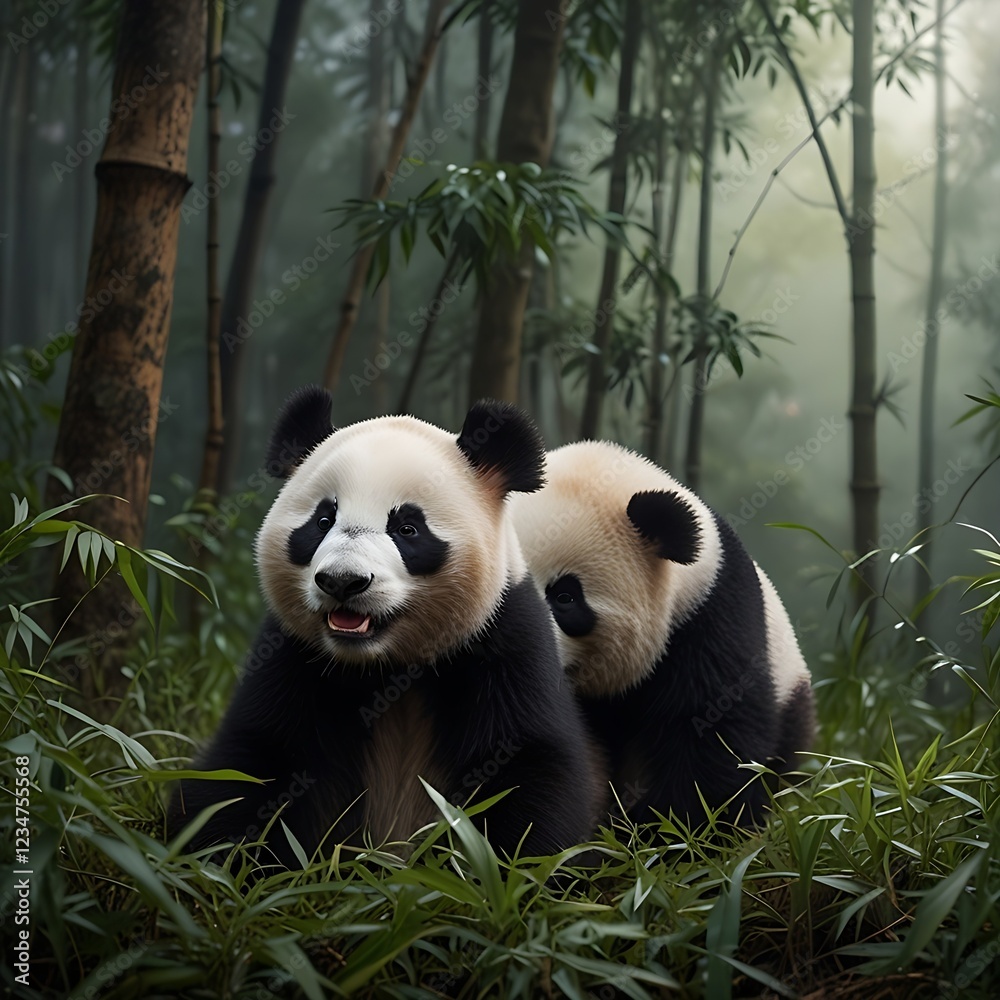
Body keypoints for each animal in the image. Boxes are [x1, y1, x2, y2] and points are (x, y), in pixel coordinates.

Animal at [167, 387, 597, 867]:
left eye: (408, 528)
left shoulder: (503, 640)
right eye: (322, 521)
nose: (343, 581)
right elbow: (250, 763)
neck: (387, 666)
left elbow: (528, 770)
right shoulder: (291, 656)